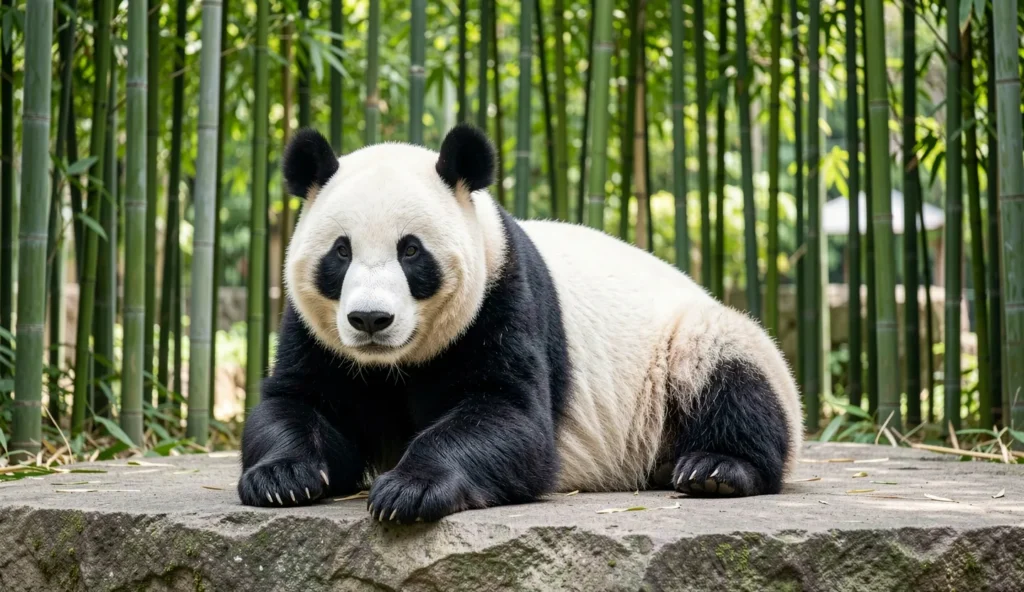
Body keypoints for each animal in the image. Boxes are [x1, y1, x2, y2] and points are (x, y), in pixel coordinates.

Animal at [238, 124, 803, 521]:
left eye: (411, 251)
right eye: (341, 252)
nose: (371, 320)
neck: (393, 364)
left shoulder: (502, 299)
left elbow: (510, 418)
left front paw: (409, 490)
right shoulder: (316, 333)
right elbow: (297, 403)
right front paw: (282, 478)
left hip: (685, 347)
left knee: (730, 374)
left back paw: (714, 468)